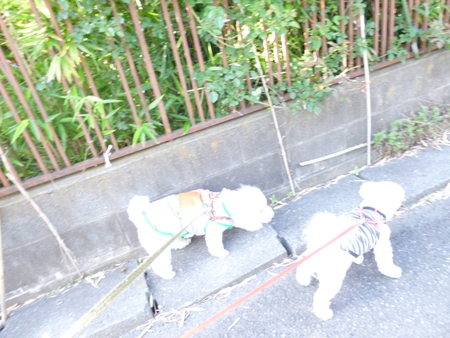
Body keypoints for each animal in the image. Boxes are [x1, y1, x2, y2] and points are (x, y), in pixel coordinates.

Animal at [127, 186, 274, 278]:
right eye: (261, 210)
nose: (272, 214)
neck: (222, 206)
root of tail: (140, 216)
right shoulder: (213, 231)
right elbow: (215, 245)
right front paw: (221, 253)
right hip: (158, 244)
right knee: (160, 264)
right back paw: (168, 274)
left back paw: (182, 243)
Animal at [296, 181, 404, 320]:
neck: (372, 209)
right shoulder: (382, 243)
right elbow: (385, 260)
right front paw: (392, 271)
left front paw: (358, 259)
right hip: (333, 275)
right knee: (321, 296)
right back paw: (323, 313)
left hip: (313, 258)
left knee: (304, 268)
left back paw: (303, 280)